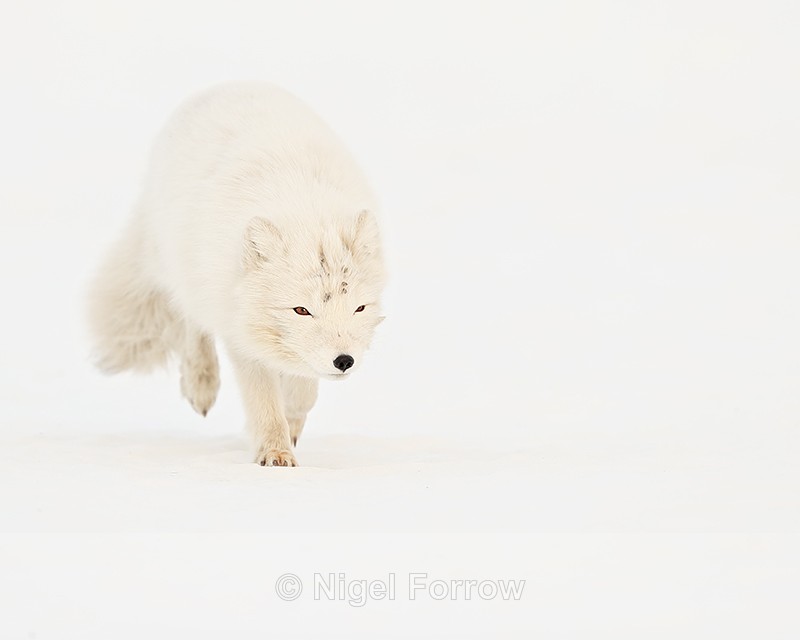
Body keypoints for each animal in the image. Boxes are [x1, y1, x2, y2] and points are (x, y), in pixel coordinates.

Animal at [87, 84, 386, 467]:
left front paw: (292, 422)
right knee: (191, 321)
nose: (344, 361)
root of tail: (226, 86)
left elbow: (303, 389)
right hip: (185, 269)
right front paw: (275, 452)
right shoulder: (240, 329)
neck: (302, 208)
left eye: (359, 308)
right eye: (301, 310)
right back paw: (200, 383)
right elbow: (264, 400)